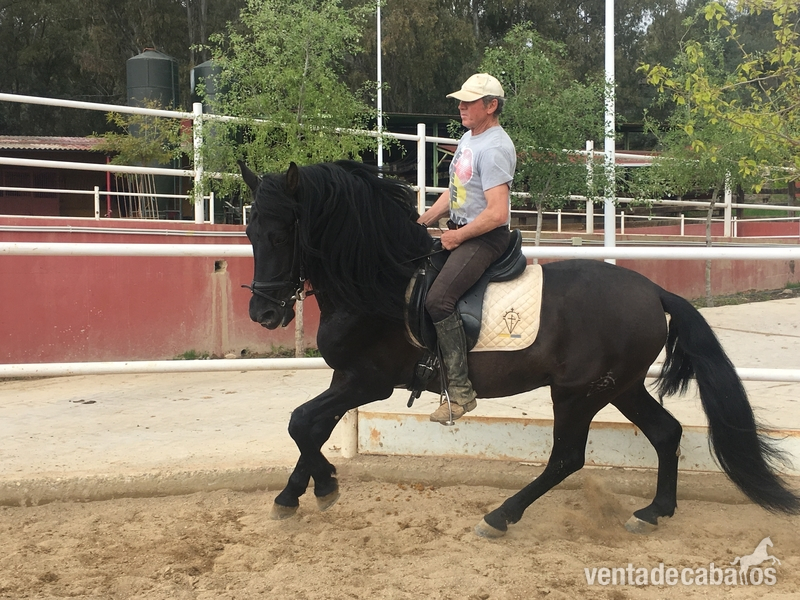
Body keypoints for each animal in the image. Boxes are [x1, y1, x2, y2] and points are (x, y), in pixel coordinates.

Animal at [239, 159, 800, 538]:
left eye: (281, 234)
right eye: (248, 230)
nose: (263, 314)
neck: (379, 284)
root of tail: (653, 290)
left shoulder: (368, 381)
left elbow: (301, 422)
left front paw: (320, 487)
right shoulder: (346, 379)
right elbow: (310, 427)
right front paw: (302, 491)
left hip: (577, 393)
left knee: (567, 458)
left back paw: (501, 516)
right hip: (620, 386)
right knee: (666, 433)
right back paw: (653, 511)